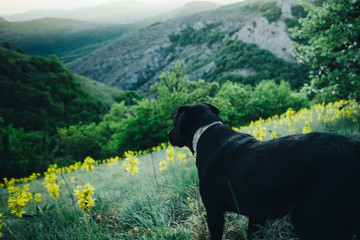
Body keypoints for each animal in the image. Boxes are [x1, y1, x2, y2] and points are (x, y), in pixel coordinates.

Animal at [169, 103, 360, 240]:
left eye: (174, 122)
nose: (168, 134)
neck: (206, 132)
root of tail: (353, 147)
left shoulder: (213, 211)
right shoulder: (256, 215)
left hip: (309, 218)